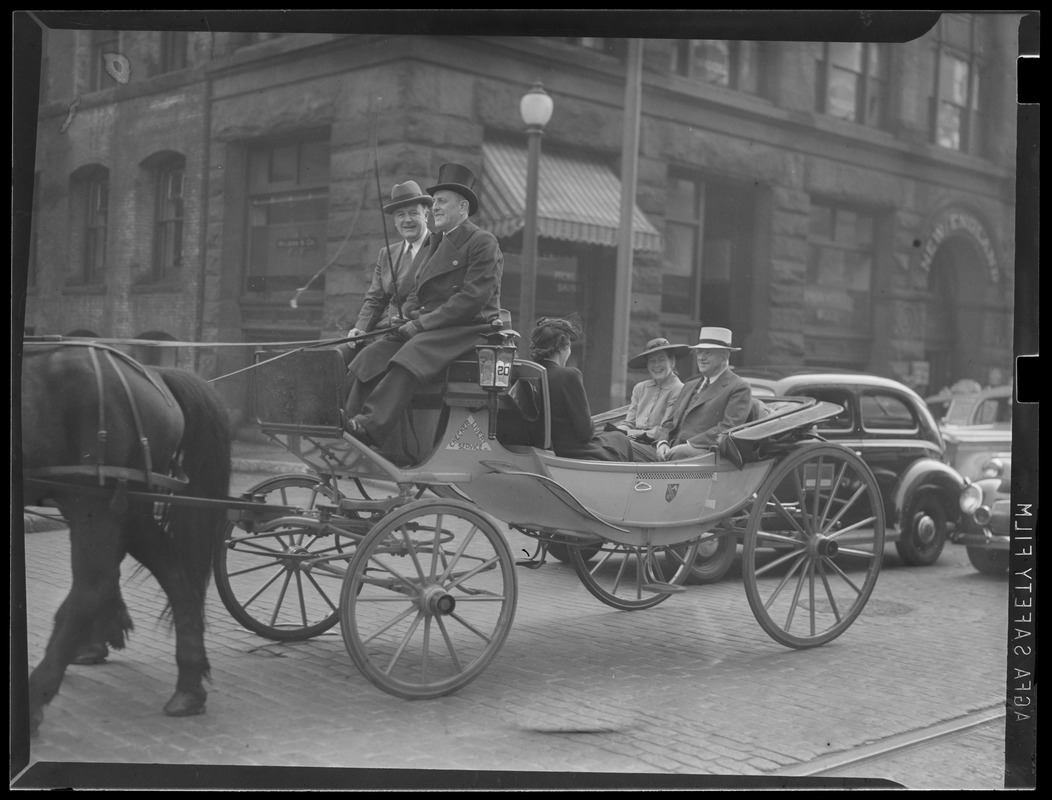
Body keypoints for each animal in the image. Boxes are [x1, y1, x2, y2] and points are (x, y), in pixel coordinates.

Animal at [21, 341, 231, 732]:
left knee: (92, 586)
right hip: (127, 507)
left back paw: (35, 698)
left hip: (94, 501)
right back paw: (188, 686)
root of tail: (153, 375)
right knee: (174, 577)